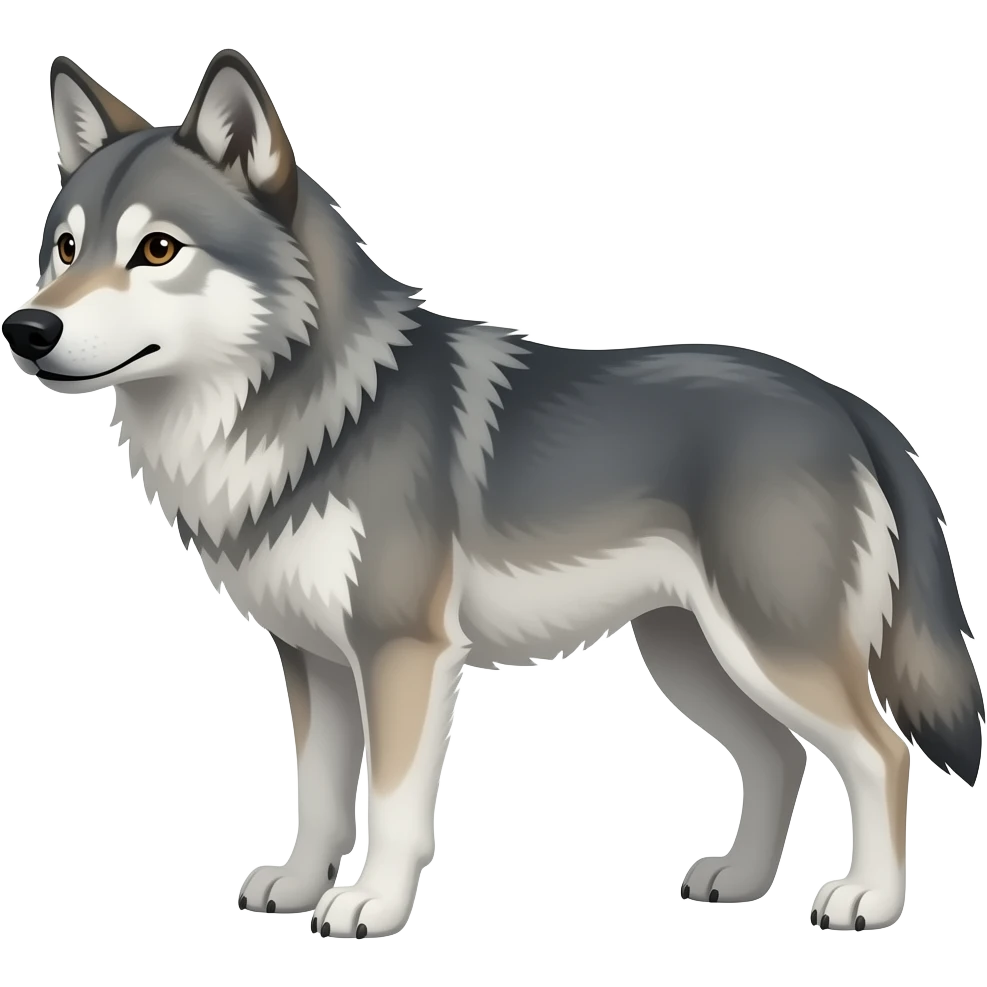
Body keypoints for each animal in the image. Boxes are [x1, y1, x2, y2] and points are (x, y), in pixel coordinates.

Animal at [3, 49, 982, 940]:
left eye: (156, 249)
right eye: (65, 248)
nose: (26, 328)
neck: (316, 415)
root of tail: (843, 402)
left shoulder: (402, 652)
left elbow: (390, 800)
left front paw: (371, 905)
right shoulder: (313, 659)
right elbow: (319, 792)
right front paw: (299, 886)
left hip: (771, 649)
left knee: (880, 753)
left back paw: (867, 899)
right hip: (692, 656)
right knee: (779, 756)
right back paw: (739, 880)